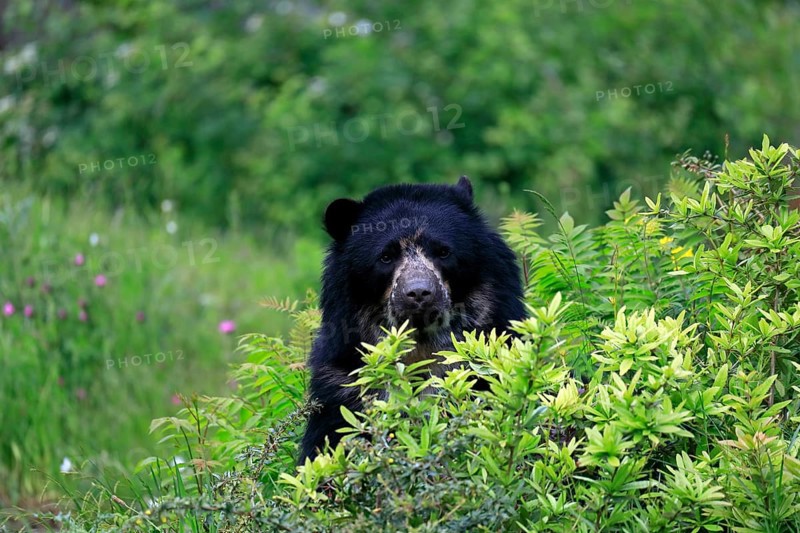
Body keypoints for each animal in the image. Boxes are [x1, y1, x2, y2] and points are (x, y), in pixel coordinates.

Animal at [298, 176, 526, 463]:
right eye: (385, 257)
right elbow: (327, 442)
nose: (419, 293)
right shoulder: (341, 388)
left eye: (443, 252)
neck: (422, 343)